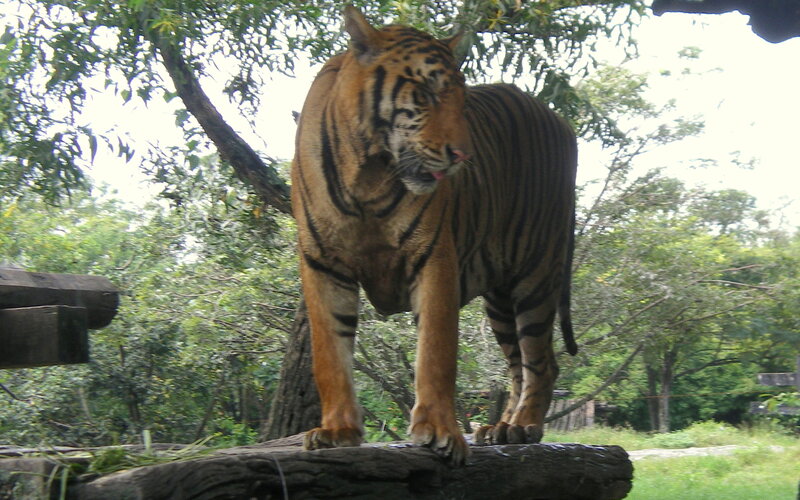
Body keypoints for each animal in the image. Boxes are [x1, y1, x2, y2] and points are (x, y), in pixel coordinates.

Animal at [291, 5, 578, 465]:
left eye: (462, 100)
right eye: (425, 94)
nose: (463, 155)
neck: (370, 173)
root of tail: (561, 121)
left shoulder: (434, 257)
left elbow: (435, 353)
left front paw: (440, 432)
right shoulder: (322, 264)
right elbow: (329, 355)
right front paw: (337, 431)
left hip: (536, 276)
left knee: (542, 361)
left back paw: (525, 426)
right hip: (499, 297)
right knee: (517, 364)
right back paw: (502, 427)